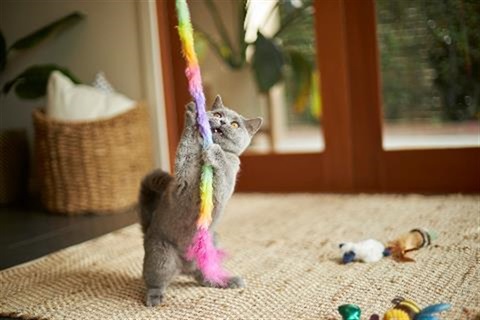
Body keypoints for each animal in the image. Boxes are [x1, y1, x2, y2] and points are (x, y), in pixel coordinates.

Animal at [139, 95, 262, 308]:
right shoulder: (184, 171)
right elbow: (186, 147)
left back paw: (228, 280)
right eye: (218, 114)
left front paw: (215, 151)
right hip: (161, 254)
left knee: (204, 275)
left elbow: (222, 167)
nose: (223, 122)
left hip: (212, 244)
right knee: (155, 280)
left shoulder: (227, 181)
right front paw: (192, 113)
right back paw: (154, 298)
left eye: (235, 124)